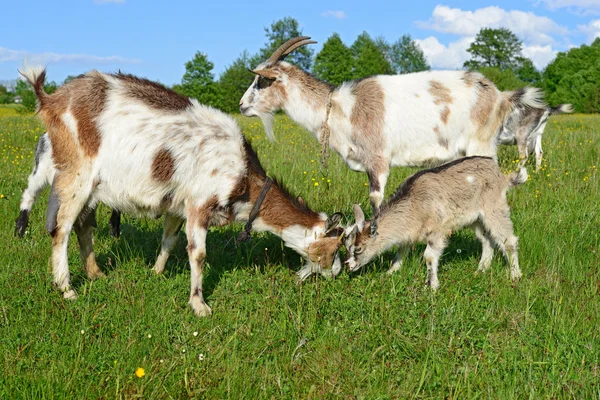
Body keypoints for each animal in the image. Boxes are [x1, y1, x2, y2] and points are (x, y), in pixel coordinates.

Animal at [22, 67, 342, 318]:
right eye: (336, 246)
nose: (337, 274)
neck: (242, 173)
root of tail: (50, 100)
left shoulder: (179, 205)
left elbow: (169, 240)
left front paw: (156, 273)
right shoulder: (200, 202)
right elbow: (198, 253)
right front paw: (199, 305)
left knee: (82, 226)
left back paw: (95, 273)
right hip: (76, 175)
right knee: (61, 228)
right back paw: (67, 289)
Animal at [238, 36, 544, 233]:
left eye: (262, 80)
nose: (241, 106)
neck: (340, 108)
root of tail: (501, 96)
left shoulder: (378, 159)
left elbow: (375, 200)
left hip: (481, 146)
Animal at [340, 156, 528, 290]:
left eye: (358, 249)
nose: (348, 266)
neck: (415, 203)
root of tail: (502, 176)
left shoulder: (437, 231)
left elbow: (429, 256)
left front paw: (432, 286)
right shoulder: (410, 232)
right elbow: (401, 250)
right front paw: (390, 272)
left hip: (494, 208)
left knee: (508, 240)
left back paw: (515, 275)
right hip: (475, 219)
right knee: (486, 240)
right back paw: (481, 269)